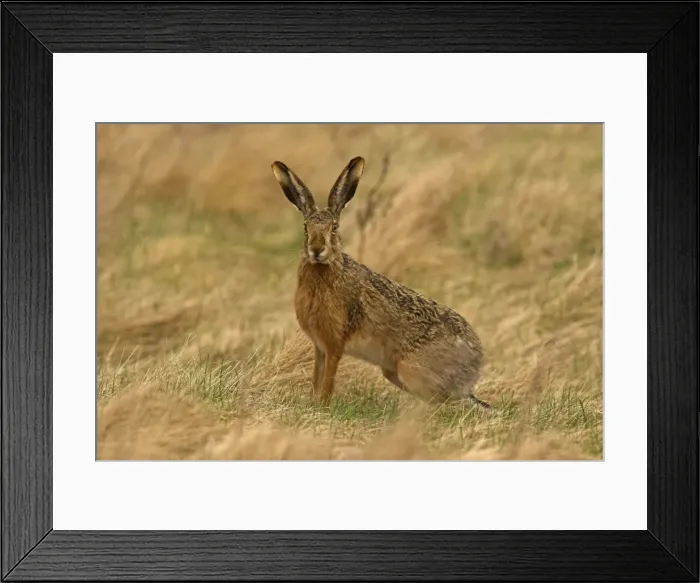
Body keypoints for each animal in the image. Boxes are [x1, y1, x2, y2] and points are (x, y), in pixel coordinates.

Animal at [271, 156, 490, 410]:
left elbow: (328, 380)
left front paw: (323, 405)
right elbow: (317, 377)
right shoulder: (320, 346)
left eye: (334, 228)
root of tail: (475, 364)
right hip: (394, 373)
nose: (316, 250)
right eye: (306, 228)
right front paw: (312, 402)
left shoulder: (335, 343)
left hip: (412, 371)